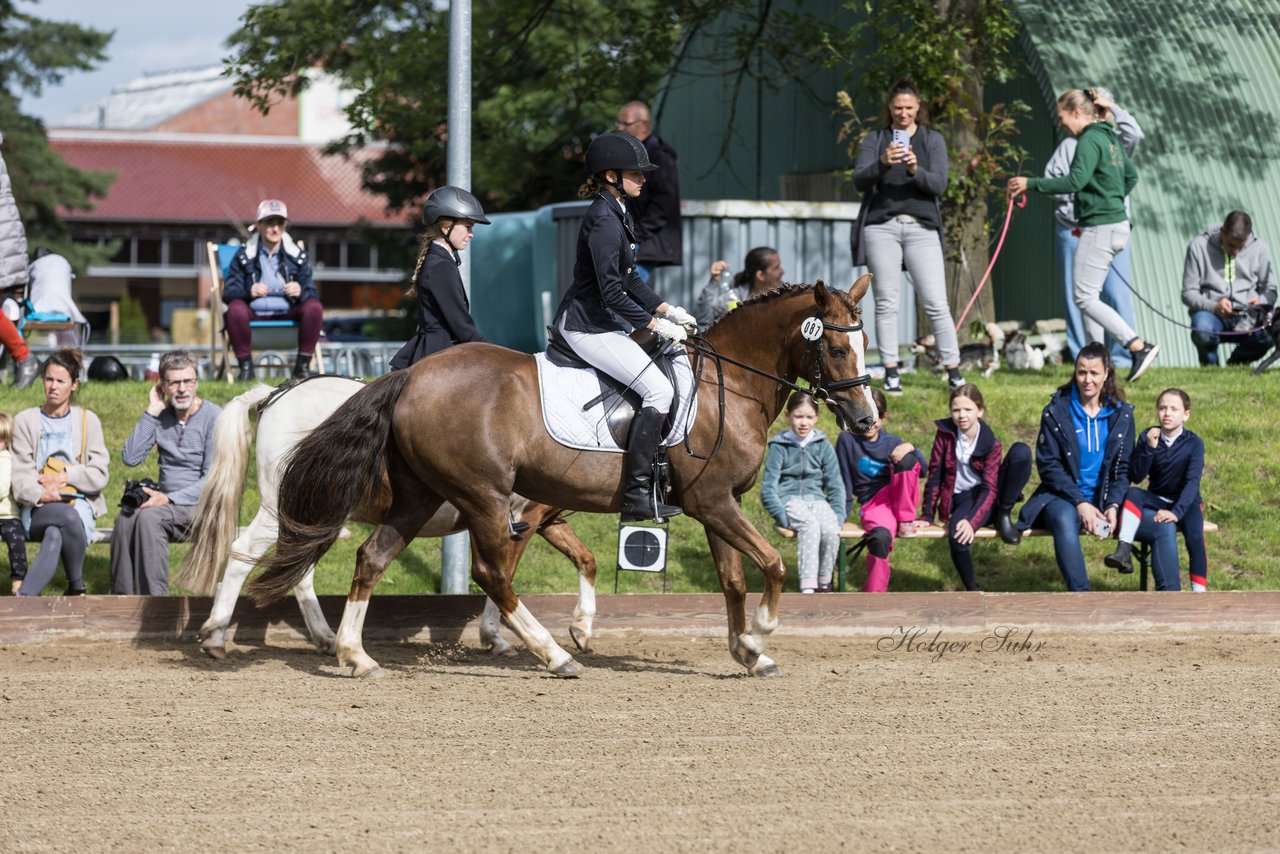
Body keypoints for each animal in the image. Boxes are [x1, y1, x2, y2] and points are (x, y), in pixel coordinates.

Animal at [177, 376, 601, 665]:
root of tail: (276, 394)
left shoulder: (545, 520)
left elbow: (585, 559)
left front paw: (578, 630)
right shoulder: (517, 519)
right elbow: (502, 575)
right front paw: (501, 637)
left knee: (296, 570)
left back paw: (326, 637)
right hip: (282, 510)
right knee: (241, 552)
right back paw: (216, 636)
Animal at [245, 280, 875, 681]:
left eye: (863, 342)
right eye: (834, 346)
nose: (868, 421)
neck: (729, 387)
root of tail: (411, 378)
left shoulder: (718, 504)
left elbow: (733, 580)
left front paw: (747, 652)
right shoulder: (714, 502)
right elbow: (770, 564)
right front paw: (759, 636)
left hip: (420, 497)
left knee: (372, 558)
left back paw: (355, 656)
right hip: (482, 495)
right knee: (490, 573)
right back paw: (555, 656)